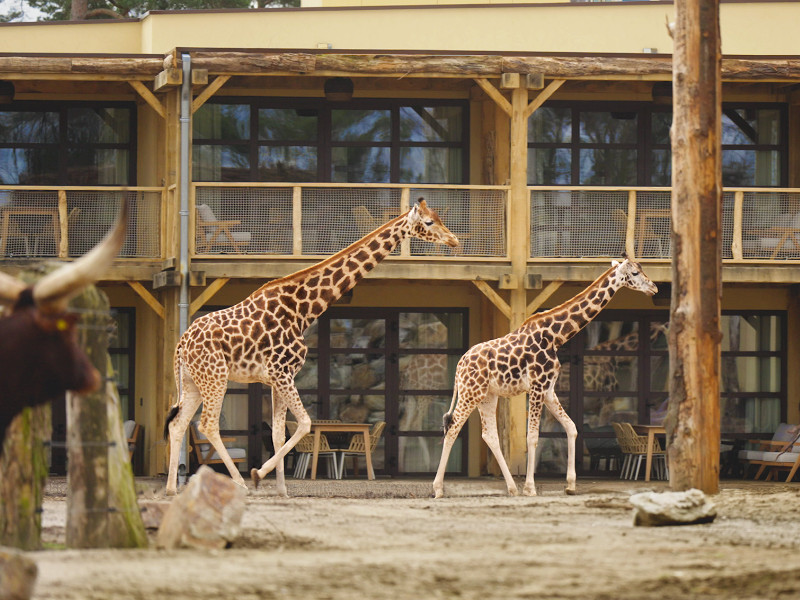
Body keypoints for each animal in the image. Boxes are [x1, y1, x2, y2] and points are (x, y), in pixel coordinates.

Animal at [166, 199, 460, 494]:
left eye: (439, 217)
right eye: (429, 222)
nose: (454, 240)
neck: (302, 310)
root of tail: (180, 345)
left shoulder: (276, 378)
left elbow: (277, 432)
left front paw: (282, 490)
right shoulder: (282, 373)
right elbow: (305, 423)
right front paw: (259, 473)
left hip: (194, 382)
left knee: (179, 424)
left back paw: (171, 488)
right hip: (215, 377)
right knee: (207, 424)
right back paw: (239, 482)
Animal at [432, 256, 656, 496]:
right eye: (635, 273)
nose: (654, 287)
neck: (556, 336)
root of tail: (459, 365)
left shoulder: (549, 389)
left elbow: (572, 428)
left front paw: (570, 485)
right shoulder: (537, 386)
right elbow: (532, 437)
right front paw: (530, 487)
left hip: (487, 396)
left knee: (489, 435)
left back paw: (512, 488)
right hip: (470, 392)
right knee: (452, 428)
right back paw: (438, 488)